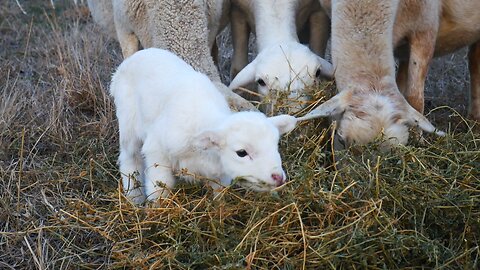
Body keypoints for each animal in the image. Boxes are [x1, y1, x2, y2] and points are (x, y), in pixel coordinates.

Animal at [110, 48, 300, 204]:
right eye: (241, 153)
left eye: (275, 145)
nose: (278, 177)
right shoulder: (157, 151)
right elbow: (161, 189)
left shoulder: (219, 175)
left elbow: (219, 195)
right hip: (128, 122)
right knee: (130, 158)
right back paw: (134, 197)